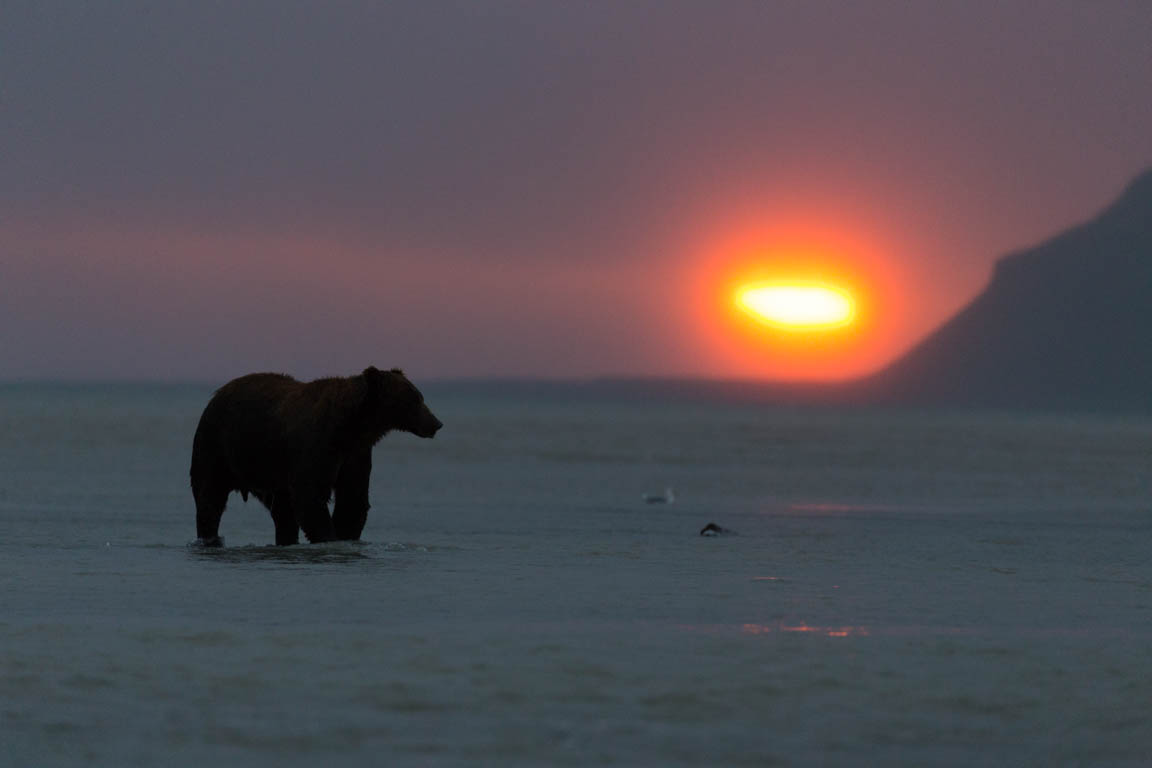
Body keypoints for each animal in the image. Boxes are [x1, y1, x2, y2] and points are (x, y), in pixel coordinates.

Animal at [188, 366, 440, 545]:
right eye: (415, 398)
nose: (436, 423)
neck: (351, 427)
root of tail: (216, 393)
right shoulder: (316, 446)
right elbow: (310, 495)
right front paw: (328, 536)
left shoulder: (355, 454)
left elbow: (353, 497)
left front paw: (346, 533)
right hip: (217, 445)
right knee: (209, 497)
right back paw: (209, 537)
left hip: (269, 470)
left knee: (283, 511)